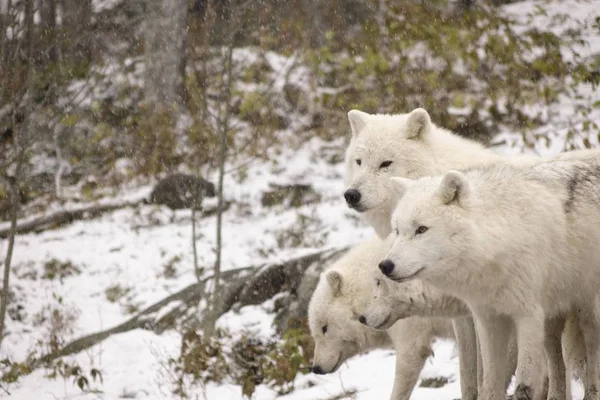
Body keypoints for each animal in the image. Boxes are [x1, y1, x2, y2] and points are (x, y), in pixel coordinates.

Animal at [380, 155, 600, 400]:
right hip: (552, 321)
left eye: (421, 229)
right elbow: (490, 383)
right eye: (397, 231)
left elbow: (523, 387)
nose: (385, 266)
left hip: (585, 312)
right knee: (556, 364)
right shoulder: (489, 320)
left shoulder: (528, 317)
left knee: (592, 350)